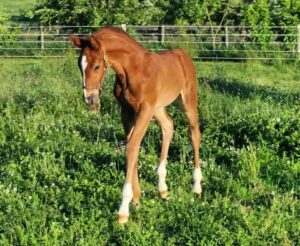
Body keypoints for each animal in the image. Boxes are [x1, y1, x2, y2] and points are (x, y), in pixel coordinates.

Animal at [69, 26, 203, 223]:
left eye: (96, 66)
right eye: (80, 65)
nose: (90, 99)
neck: (132, 71)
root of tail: (182, 54)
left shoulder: (144, 111)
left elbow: (131, 147)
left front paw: (123, 210)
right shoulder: (126, 111)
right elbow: (132, 147)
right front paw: (137, 200)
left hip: (187, 101)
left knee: (194, 134)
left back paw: (196, 187)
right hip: (158, 107)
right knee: (168, 126)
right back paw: (163, 188)